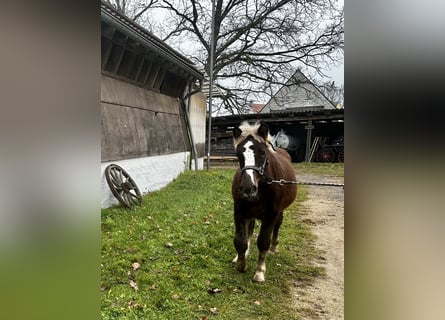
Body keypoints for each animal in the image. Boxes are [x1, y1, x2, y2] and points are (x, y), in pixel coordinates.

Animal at [231, 121, 296, 282]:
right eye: (238, 154)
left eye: (262, 153)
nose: (248, 188)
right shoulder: (240, 211)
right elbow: (240, 241)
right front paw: (241, 263)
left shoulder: (271, 215)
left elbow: (263, 242)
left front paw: (259, 271)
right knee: (250, 230)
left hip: (279, 212)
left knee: (278, 226)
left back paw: (274, 247)